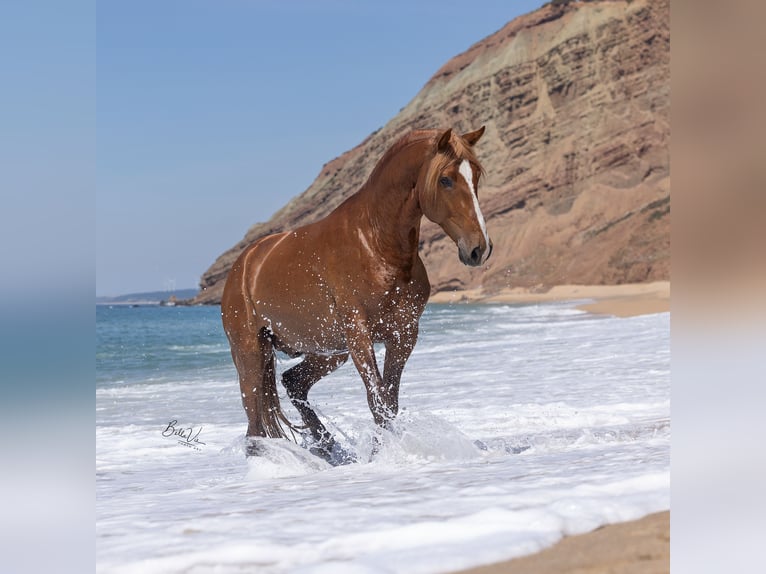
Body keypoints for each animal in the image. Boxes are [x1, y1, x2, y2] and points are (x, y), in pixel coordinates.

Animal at [222, 126, 496, 464]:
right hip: (251, 353)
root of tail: (244, 264)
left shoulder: (403, 334)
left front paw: (383, 451)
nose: (479, 248)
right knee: (255, 424)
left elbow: (388, 402)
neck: (375, 244)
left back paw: (328, 447)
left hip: (327, 350)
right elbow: (376, 399)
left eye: (476, 176)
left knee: (293, 384)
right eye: (446, 179)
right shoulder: (359, 336)